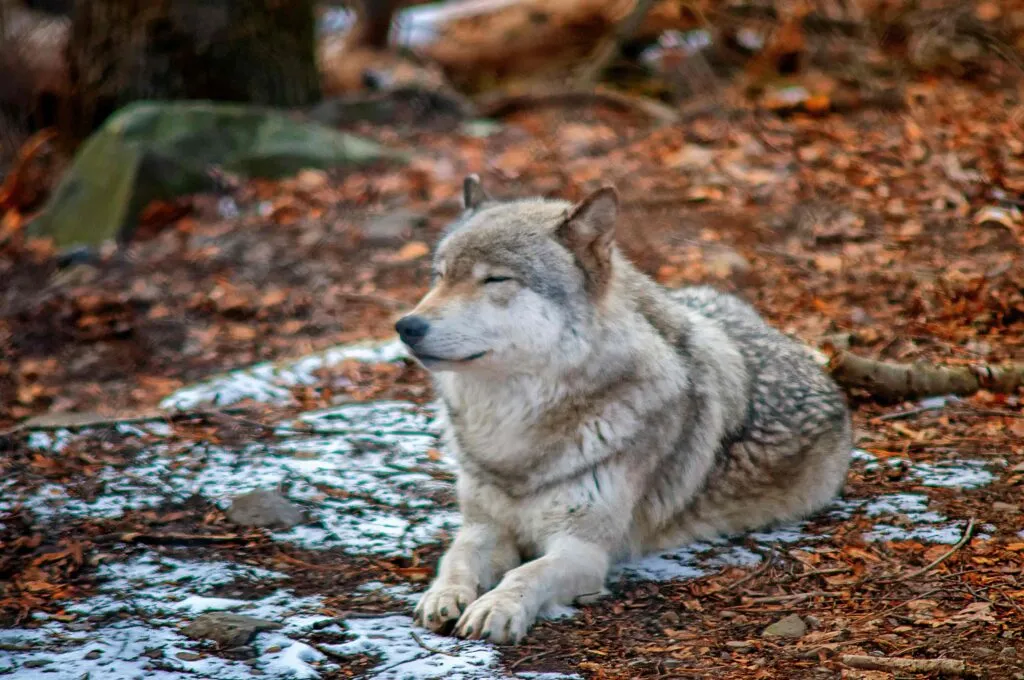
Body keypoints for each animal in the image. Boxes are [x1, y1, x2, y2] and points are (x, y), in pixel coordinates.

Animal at [395, 176, 852, 644]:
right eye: (440, 276)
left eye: (495, 279)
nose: (406, 326)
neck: (514, 431)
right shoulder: (483, 527)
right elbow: (456, 557)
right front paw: (442, 595)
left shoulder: (583, 550)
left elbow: (527, 574)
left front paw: (498, 607)